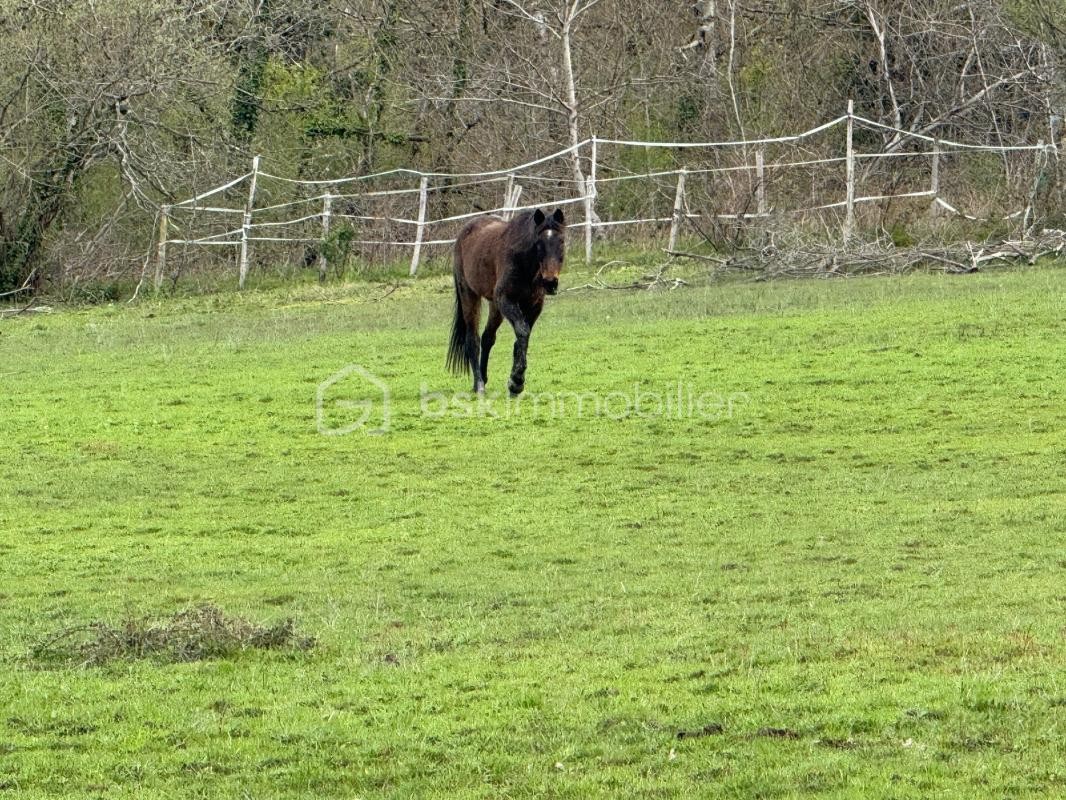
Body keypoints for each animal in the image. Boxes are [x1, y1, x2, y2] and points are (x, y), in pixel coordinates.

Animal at [447, 206, 571, 394]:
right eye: (538, 244)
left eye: (561, 241)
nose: (550, 282)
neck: (525, 265)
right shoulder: (506, 300)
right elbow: (522, 331)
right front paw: (516, 380)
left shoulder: (534, 305)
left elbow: (523, 337)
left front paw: (516, 382)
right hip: (469, 296)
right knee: (473, 340)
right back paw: (479, 384)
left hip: (495, 306)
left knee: (488, 338)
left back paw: (484, 377)